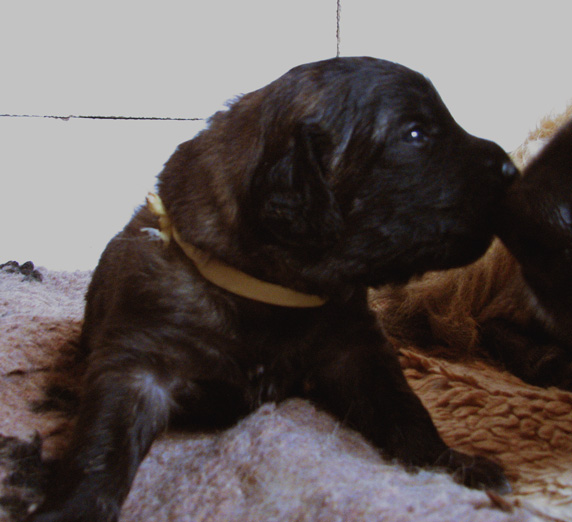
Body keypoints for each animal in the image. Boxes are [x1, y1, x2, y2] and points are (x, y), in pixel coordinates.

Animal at [30, 56, 517, 522]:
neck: (269, 294)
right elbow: (101, 447)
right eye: (415, 134)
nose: (513, 169)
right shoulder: (137, 364)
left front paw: (451, 463)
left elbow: (404, 408)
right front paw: (72, 508)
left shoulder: (356, 349)